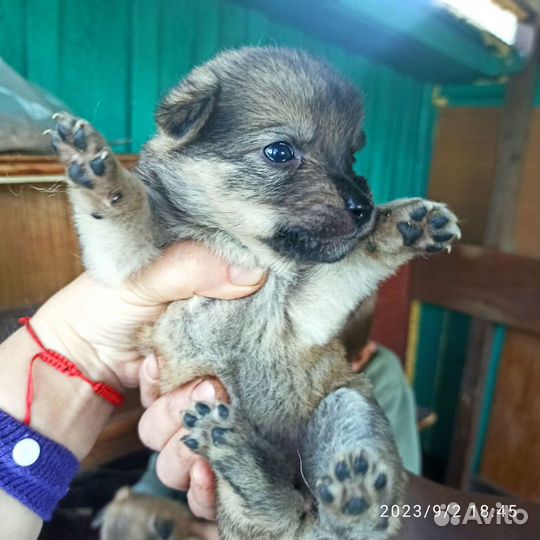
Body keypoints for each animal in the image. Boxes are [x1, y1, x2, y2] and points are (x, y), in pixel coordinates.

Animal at [49, 47, 460, 540]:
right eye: (280, 151)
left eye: (351, 157)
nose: (363, 209)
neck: (238, 245)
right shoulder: (132, 268)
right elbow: (123, 210)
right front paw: (98, 169)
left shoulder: (306, 310)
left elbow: (356, 258)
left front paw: (402, 224)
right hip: (226, 489)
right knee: (271, 507)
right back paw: (236, 449)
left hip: (346, 405)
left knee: (346, 513)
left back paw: (351, 488)